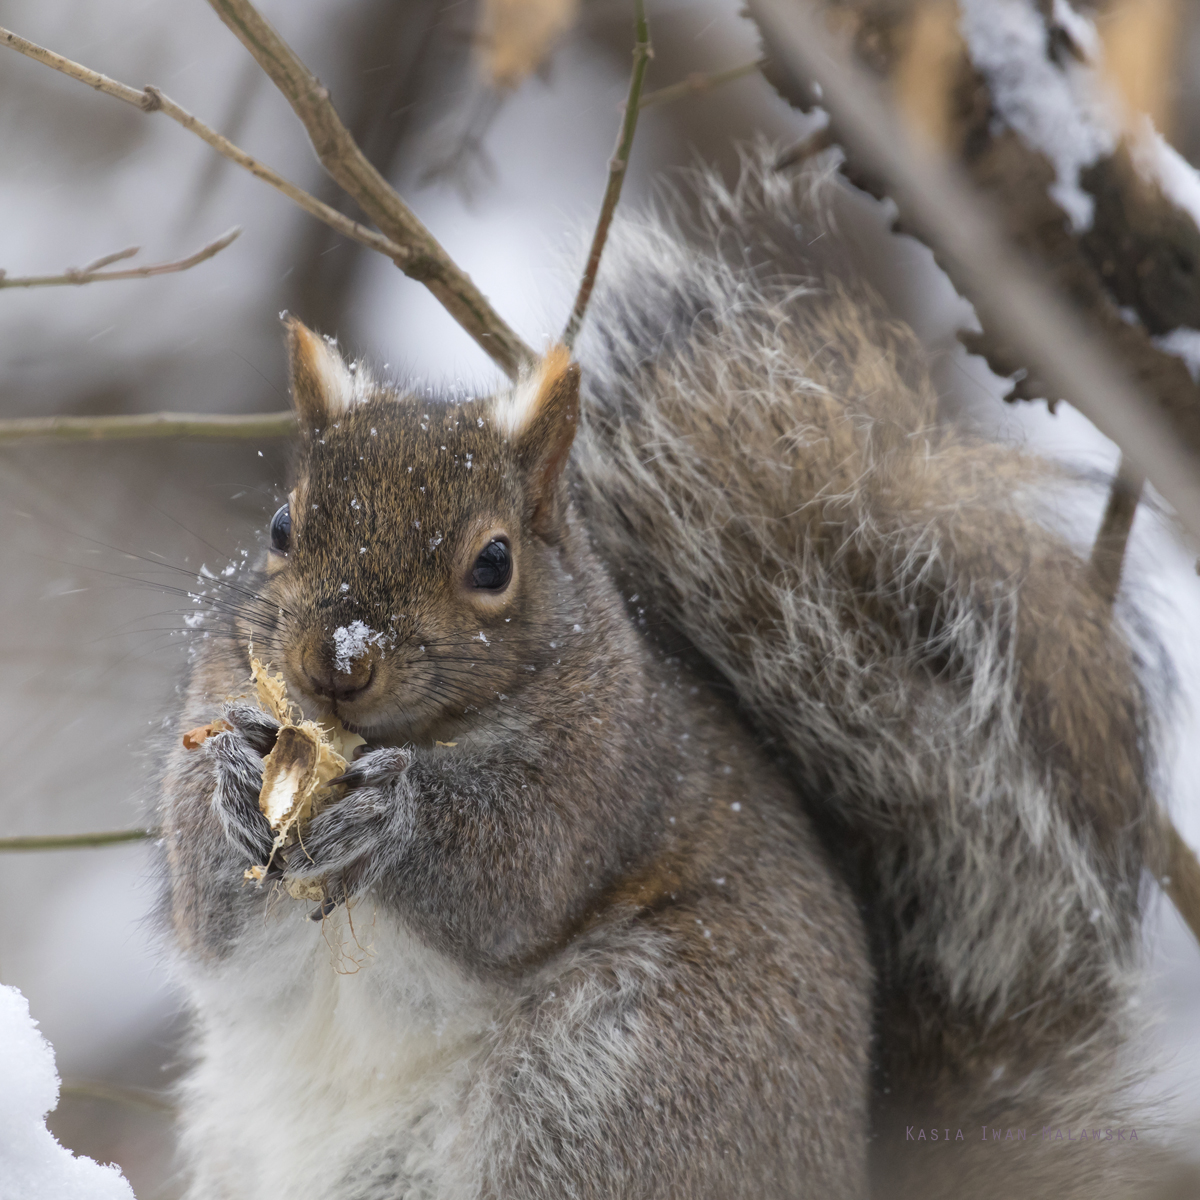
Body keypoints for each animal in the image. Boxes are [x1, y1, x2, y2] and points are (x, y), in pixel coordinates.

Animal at [154, 162, 1176, 1200]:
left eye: (494, 562)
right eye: (282, 527)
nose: (338, 665)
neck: (408, 738)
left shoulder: (605, 771)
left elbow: (511, 875)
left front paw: (391, 815)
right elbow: (205, 911)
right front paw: (231, 781)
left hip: (617, 1088)